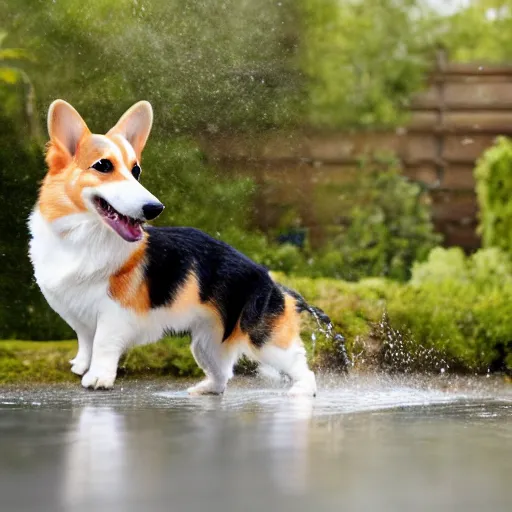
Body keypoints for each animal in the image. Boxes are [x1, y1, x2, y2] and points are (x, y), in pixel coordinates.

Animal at [29, 101, 348, 396]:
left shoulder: (114, 315)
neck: (81, 237)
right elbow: (86, 341)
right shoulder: (80, 318)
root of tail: (275, 285)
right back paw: (204, 389)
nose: (154, 208)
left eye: (136, 170)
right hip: (206, 343)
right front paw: (81, 366)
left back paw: (302, 391)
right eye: (103, 166)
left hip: (265, 341)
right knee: (223, 377)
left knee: (300, 366)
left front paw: (98, 378)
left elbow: (103, 344)